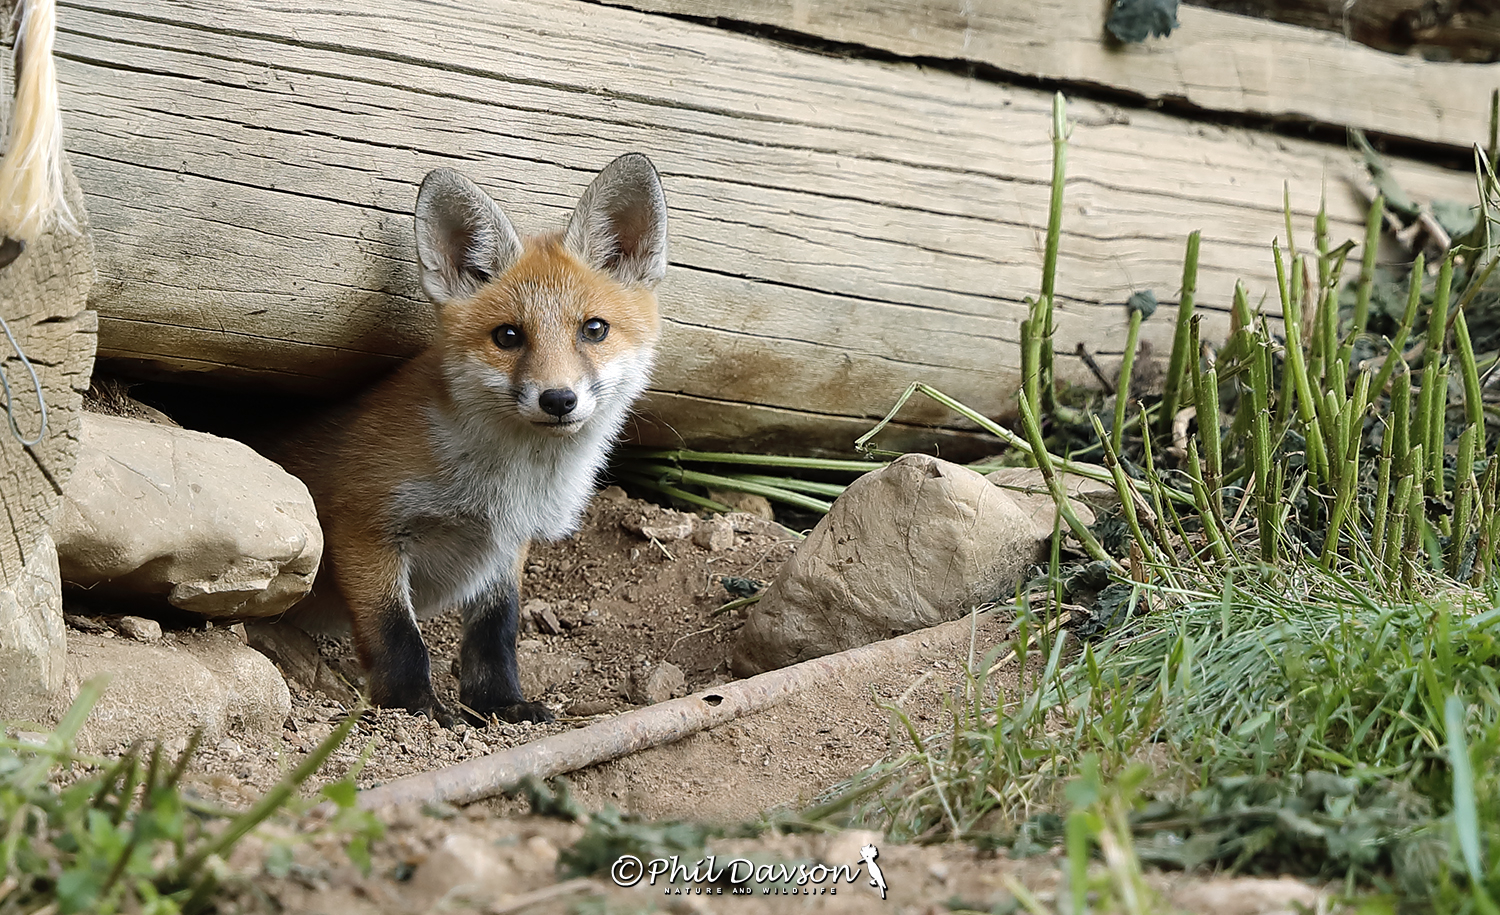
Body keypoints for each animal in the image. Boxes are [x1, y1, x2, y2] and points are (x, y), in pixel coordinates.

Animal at [271, 154, 668, 726]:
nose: (558, 399)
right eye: (508, 336)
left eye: (594, 330)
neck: (506, 484)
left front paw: (500, 703)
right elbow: (397, 634)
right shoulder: (362, 524)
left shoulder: (506, 545)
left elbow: (495, 632)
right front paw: (414, 705)